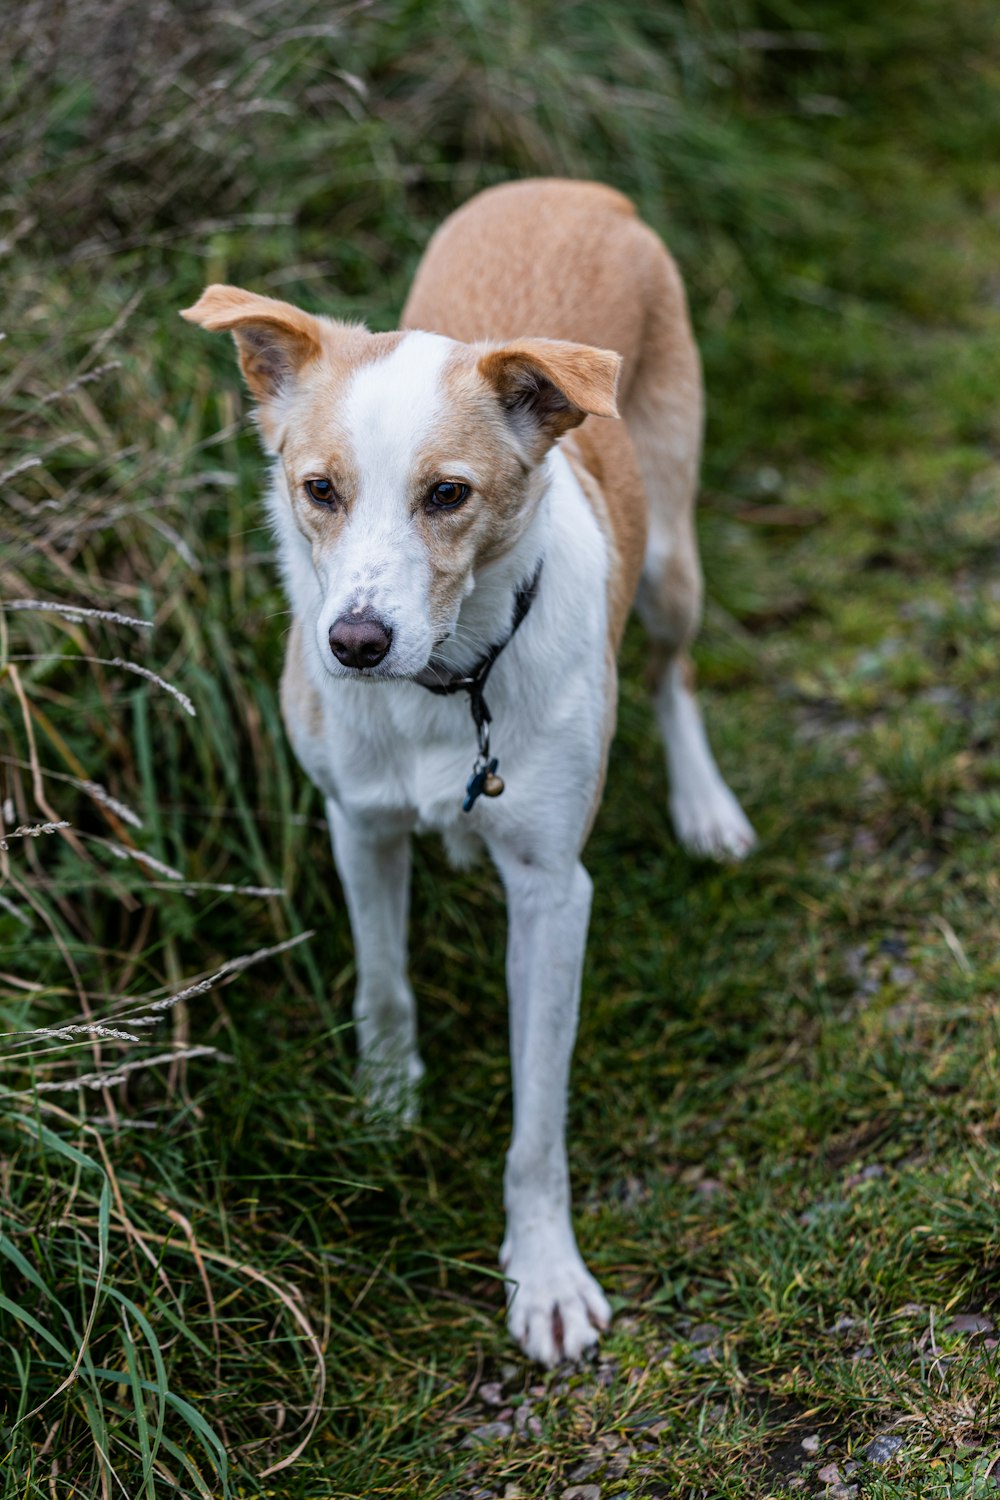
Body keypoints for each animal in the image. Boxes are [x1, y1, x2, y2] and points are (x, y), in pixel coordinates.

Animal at [183, 181, 755, 1368]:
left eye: (448, 494)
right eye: (318, 489)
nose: (352, 642)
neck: (443, 691)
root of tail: (577, 189)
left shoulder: (551, 892)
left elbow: (537, 1122)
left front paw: (545, 1275)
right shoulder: (356, 823)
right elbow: (383, 986)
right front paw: (382, 1109)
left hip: (671, 562)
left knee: (672, 669)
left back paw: (704, 807)